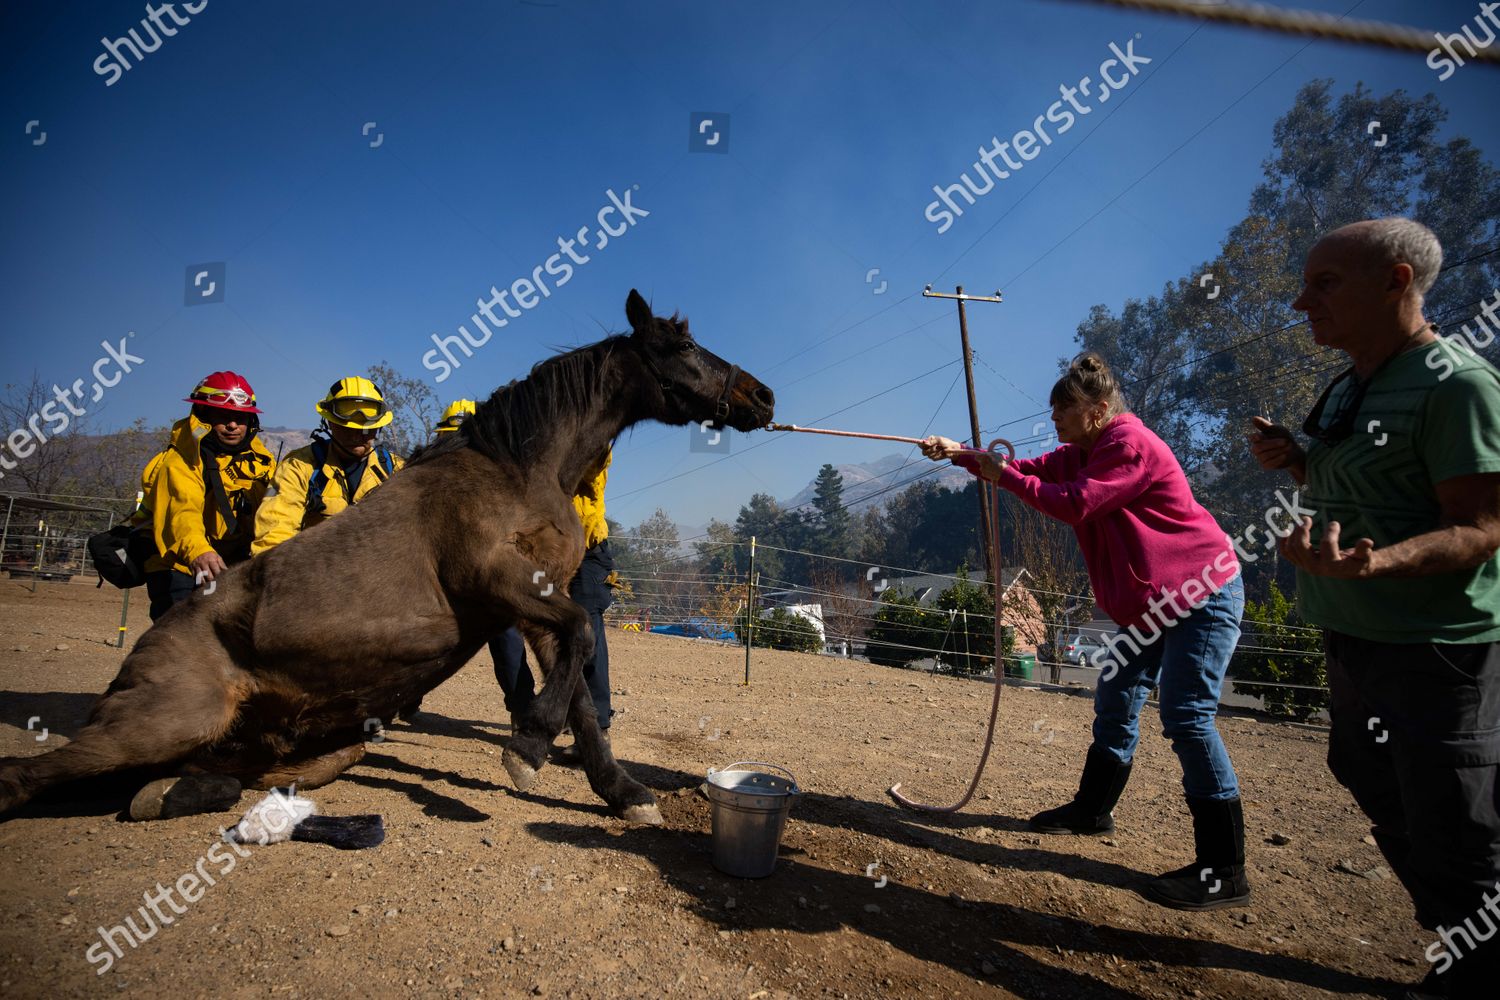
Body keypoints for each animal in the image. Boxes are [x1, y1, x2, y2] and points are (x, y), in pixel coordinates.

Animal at [0, 289, 776, 826]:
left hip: (304, 752)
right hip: (163, 725)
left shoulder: (539, 607)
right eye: (680, 347)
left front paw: (621, 791)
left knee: (196, 783)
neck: (516, 472)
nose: (760, 394)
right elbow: (581, 647)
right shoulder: (499, 585)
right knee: (25, 778)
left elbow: (582, 694)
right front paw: (525, 751)